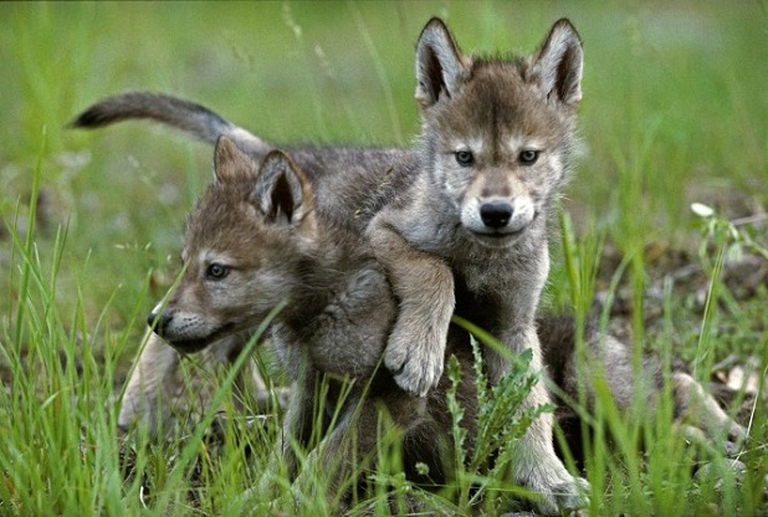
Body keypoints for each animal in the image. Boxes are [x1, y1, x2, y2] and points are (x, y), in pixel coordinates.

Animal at [71, 18, 747, 514]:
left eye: (528, 157)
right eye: (463, 157)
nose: (496, 211)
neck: (484, 256)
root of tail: (288, 154)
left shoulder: (510, 326)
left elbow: (526, 411)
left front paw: (549, 480)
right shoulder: (389, 243)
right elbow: (431, 277)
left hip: (592, 373)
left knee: (672, 383)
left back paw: (725, 438)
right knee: (188, 342)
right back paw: (139, 407)